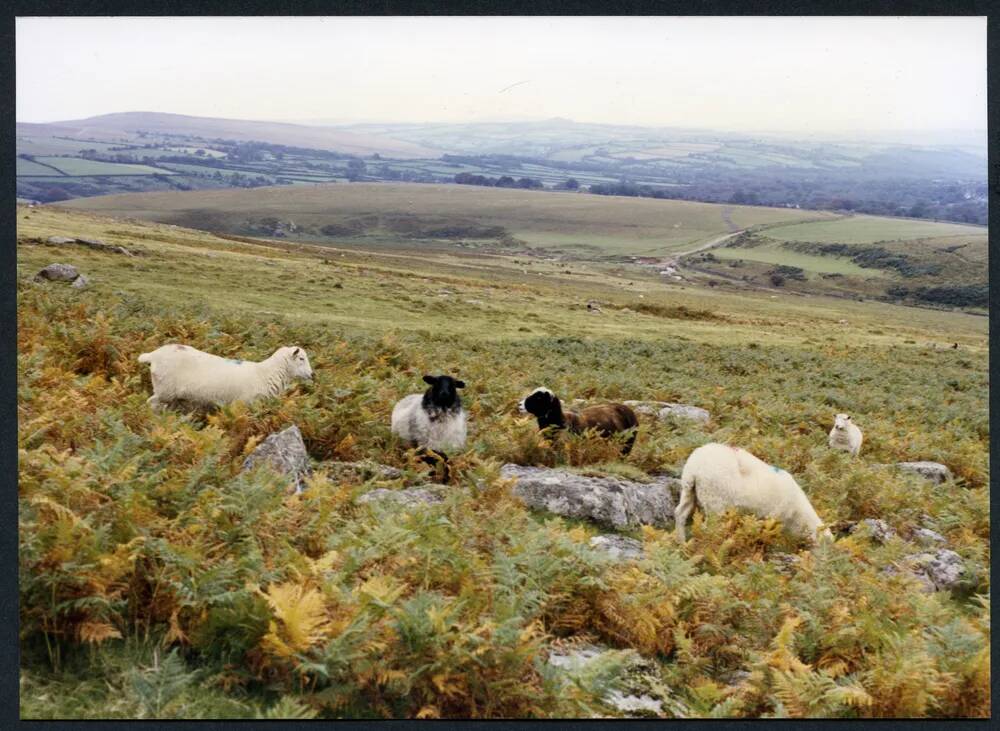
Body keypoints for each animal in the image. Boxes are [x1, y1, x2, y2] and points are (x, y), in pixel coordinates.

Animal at [135, 344, 310, 412]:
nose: (312, 374)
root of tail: (153, 355)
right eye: (301, 359)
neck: (265, 373)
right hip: (165, 390)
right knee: (150, 403)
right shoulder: (243, 405)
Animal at [672, 444, 836, 548]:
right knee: (708, 528)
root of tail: (694, 468)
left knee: (680, 513)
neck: (798, 514)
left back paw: (681, 543)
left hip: (689, 490)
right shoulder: (773, 517)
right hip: (715, 499)